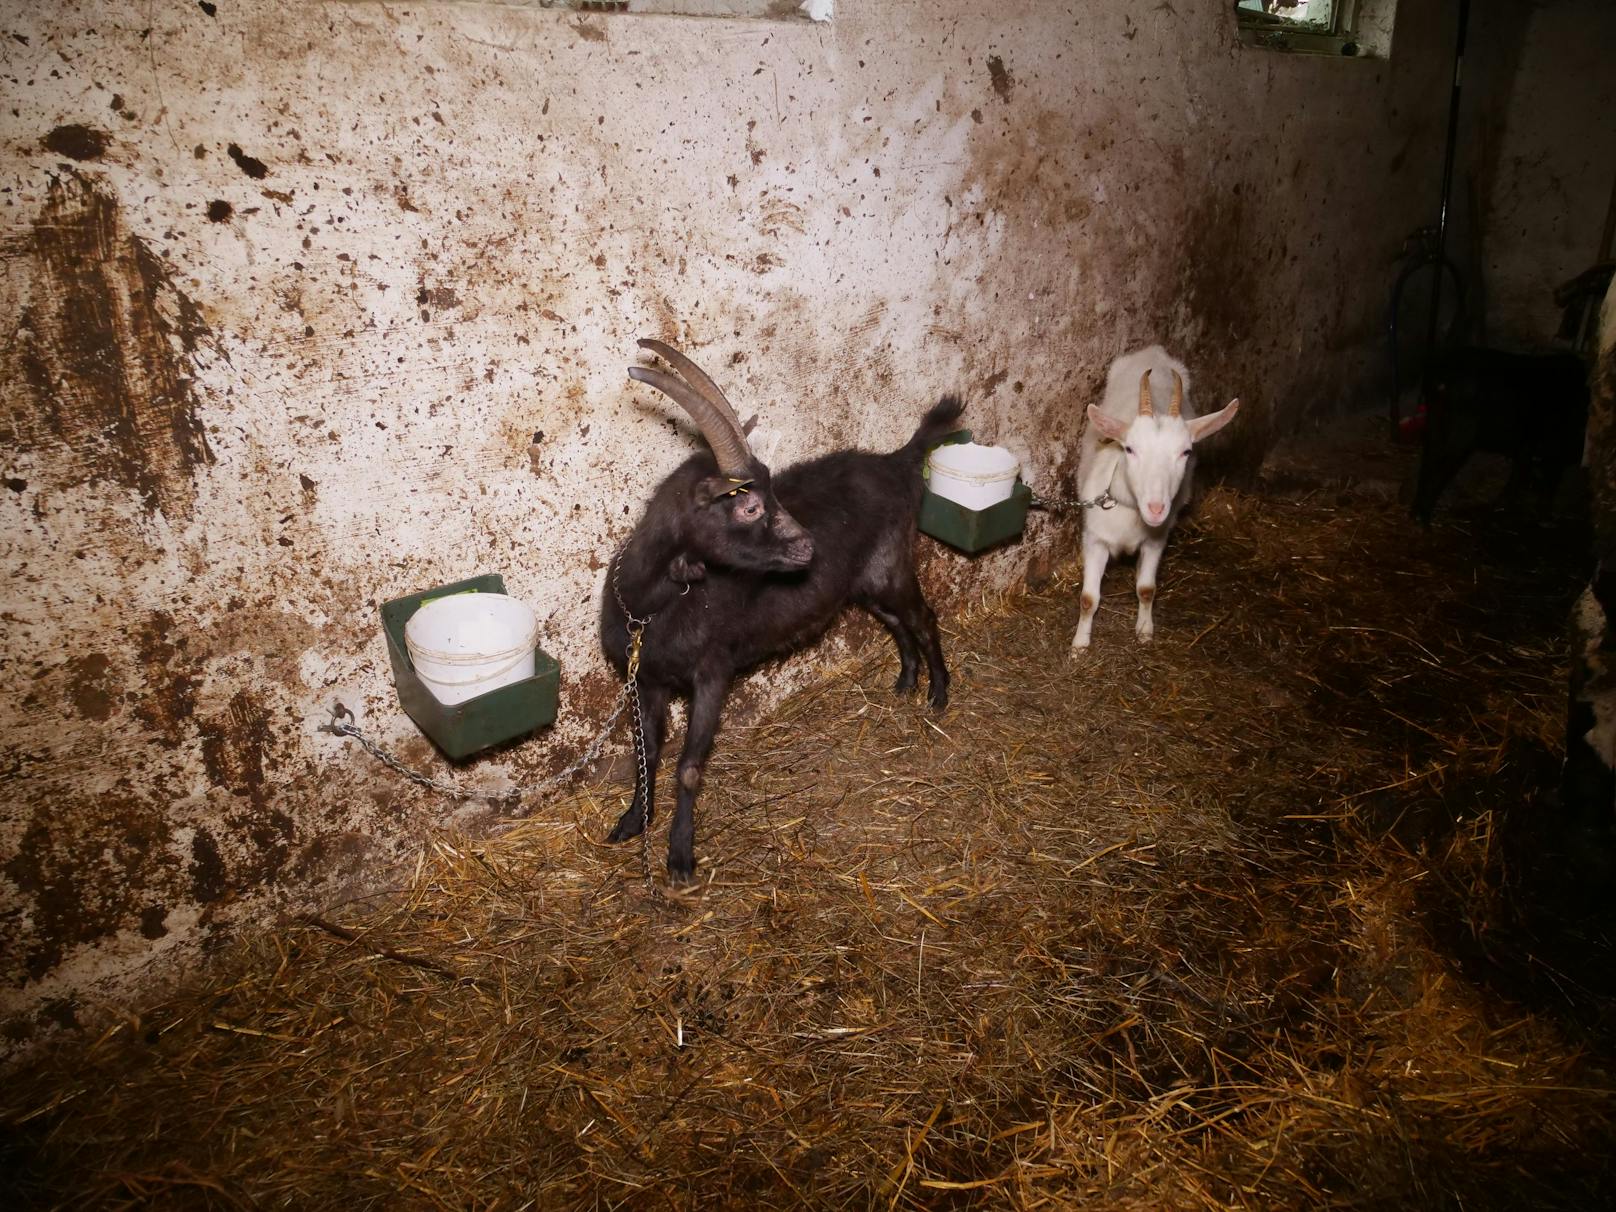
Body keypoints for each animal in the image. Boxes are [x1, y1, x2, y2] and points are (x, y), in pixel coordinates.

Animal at [604, 339, 956, 885]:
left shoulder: (714, 672)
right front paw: (632, 821)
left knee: (922, 617)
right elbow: (647, 753)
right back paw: (906, 681)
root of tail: (896, 463)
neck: (653, 608)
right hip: (864, 583)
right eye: (749, 507)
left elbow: (689, 767)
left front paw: (680, 857)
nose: (809, 547)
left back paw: (937, 694)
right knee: (896, 622)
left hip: (891, 566)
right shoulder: (645, 677)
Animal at [1073, 345, 1234, 649]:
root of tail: (1153, 352)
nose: (1157, 509)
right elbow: (1088, 599)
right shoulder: (1094, 539)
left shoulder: (1156, 540)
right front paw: (1079, 644)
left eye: (1186, 452)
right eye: (1129, 449)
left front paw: (1145, 630)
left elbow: (1147, 589)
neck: (1127, 510)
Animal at [1415, 345, 1590, 526]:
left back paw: (1416, 513)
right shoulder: (1556, 448)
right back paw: (1424, 519)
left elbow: (1519, 472)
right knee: (1441, 465)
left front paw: (1504, 504)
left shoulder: (1527, 445)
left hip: (1435, 421)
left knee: (1429, 459)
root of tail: (1441, 377)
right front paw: (1544, 516)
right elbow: (1548, 481)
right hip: (1461, 434)